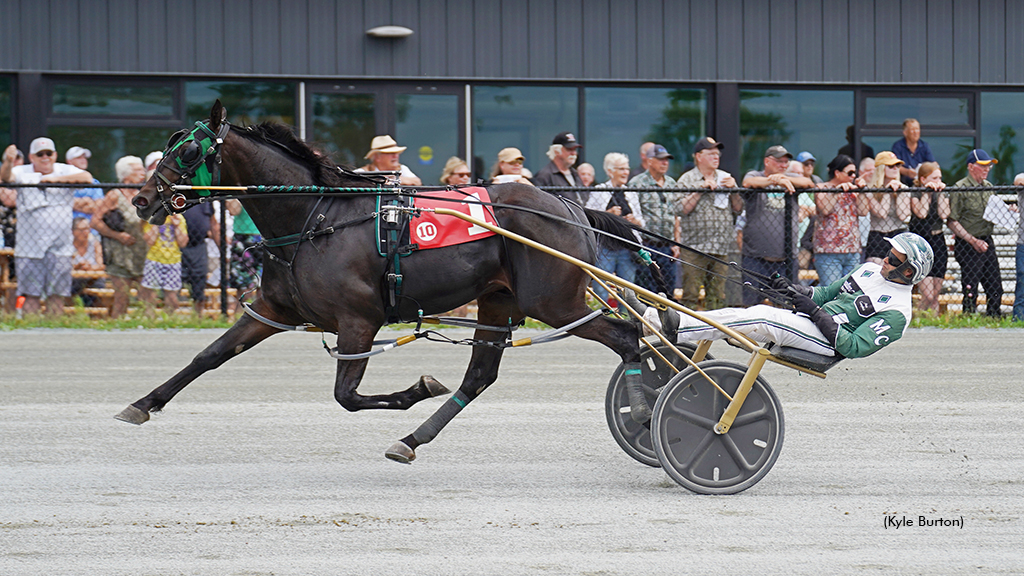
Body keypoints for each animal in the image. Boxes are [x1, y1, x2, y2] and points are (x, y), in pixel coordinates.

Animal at [123, 99, 643, 461]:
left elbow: (347, 396)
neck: (316, 217)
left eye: (189, 150)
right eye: (168, 144)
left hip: (554, 302)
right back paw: (411, 440)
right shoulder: (273, 310)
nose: (143, 200)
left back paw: (640, 410)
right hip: (499, 301)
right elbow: (209, 356)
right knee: (479, 376)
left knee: (628, 335)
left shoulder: (360, 319)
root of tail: (569, 207)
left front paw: (420, 388)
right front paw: (144, 402)